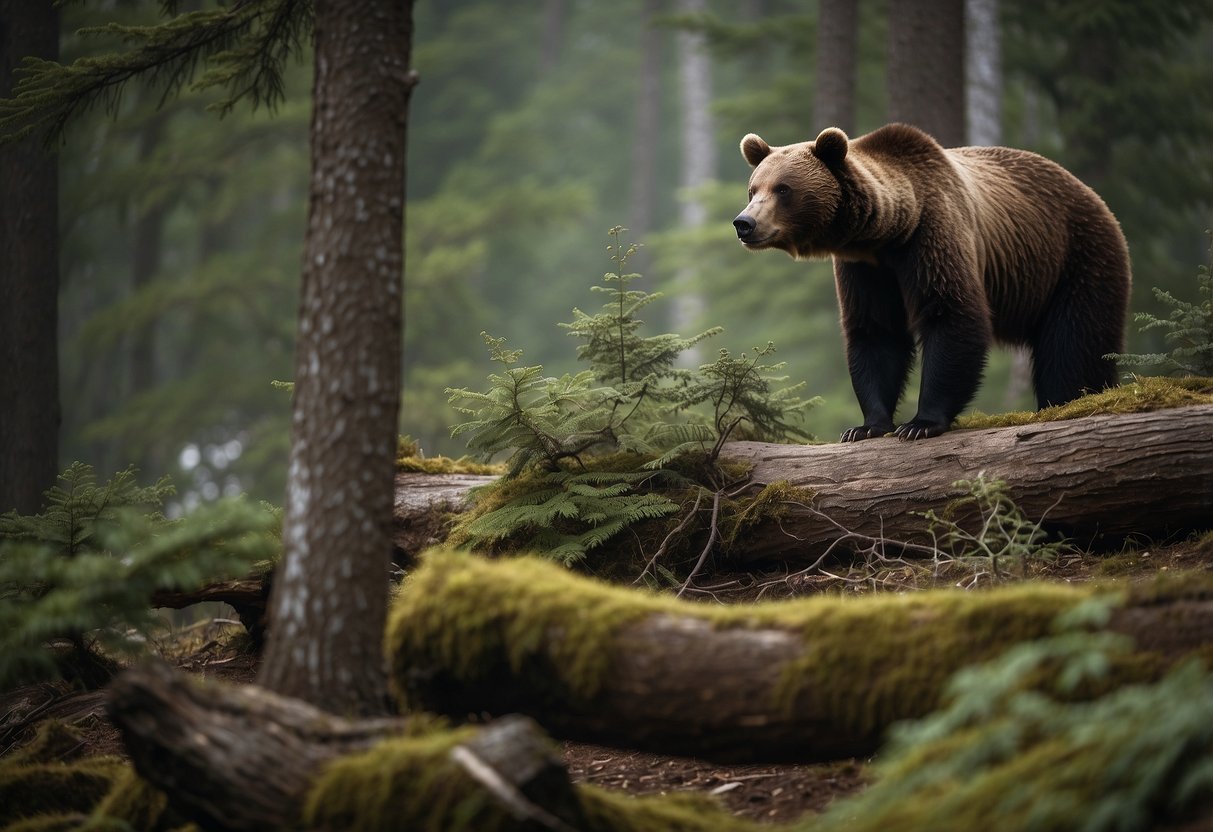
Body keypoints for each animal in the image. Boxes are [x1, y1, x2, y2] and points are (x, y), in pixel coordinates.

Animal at [732, 123, 1130, 443]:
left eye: (783, 189)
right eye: (753, 189)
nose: (744, 223)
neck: (888, 233)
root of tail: (1094, 196)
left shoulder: (933, 234)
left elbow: (951, 314)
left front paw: (920, 423)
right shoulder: (865, 269)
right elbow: (875, 332)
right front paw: (865, 426)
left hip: (1074, 260)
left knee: (1074, 345)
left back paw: (1069, 401)